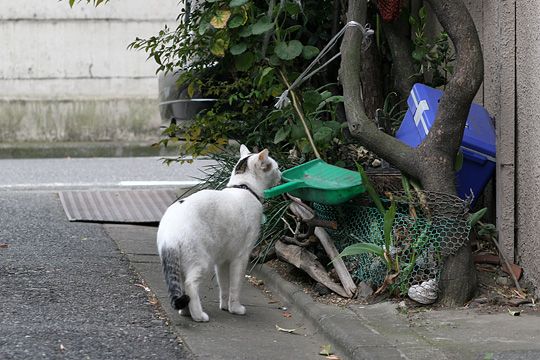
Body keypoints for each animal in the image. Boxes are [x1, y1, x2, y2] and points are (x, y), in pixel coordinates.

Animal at [156, 145, 280, 322]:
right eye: (276, 167)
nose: (282, 174)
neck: (244, 188)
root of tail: (170, 233)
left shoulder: (222, 260)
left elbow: (224, 286)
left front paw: (225, 307)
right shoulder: (241, 257)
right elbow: (235, 287)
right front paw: (235, 308)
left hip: (183, 263)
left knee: (181, 284)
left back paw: (185, 311)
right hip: (201, 260)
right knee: (190, 284)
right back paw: (198, 315)